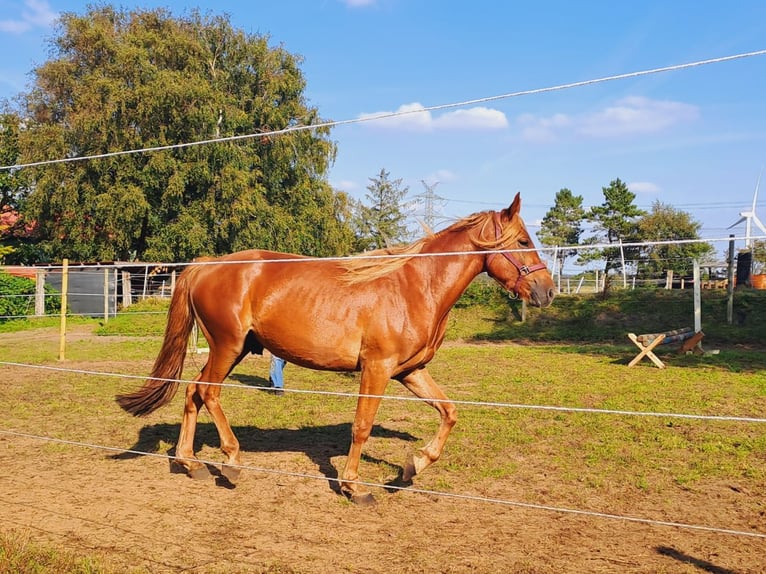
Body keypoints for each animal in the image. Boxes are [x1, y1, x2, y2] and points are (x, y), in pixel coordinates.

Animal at [117, 192, 556, 504]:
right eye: (522, 240)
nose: (547, 290)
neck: (414, 287)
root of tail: (206, 264)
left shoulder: (410, 371)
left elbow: (449, 412)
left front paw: (411, 467)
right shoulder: (377, 369)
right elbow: (361, 427)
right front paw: (354, 486)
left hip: (232, 349)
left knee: (193, 391)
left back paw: (190, 463)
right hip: (227, 347)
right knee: (208, 392)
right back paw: (233, 461)